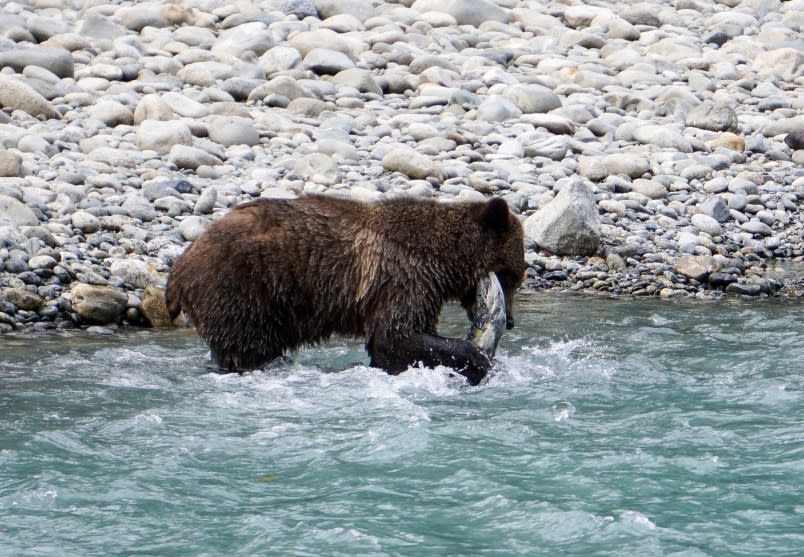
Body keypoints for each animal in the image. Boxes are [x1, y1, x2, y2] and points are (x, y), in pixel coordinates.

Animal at [164, 194, 528, 382]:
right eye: (511, 274)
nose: (510, 321)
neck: (444, 261)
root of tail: (179, 269)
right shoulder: (405, 277)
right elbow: (395, 336)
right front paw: (475, 358)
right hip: (244, 289)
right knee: (248, 344)